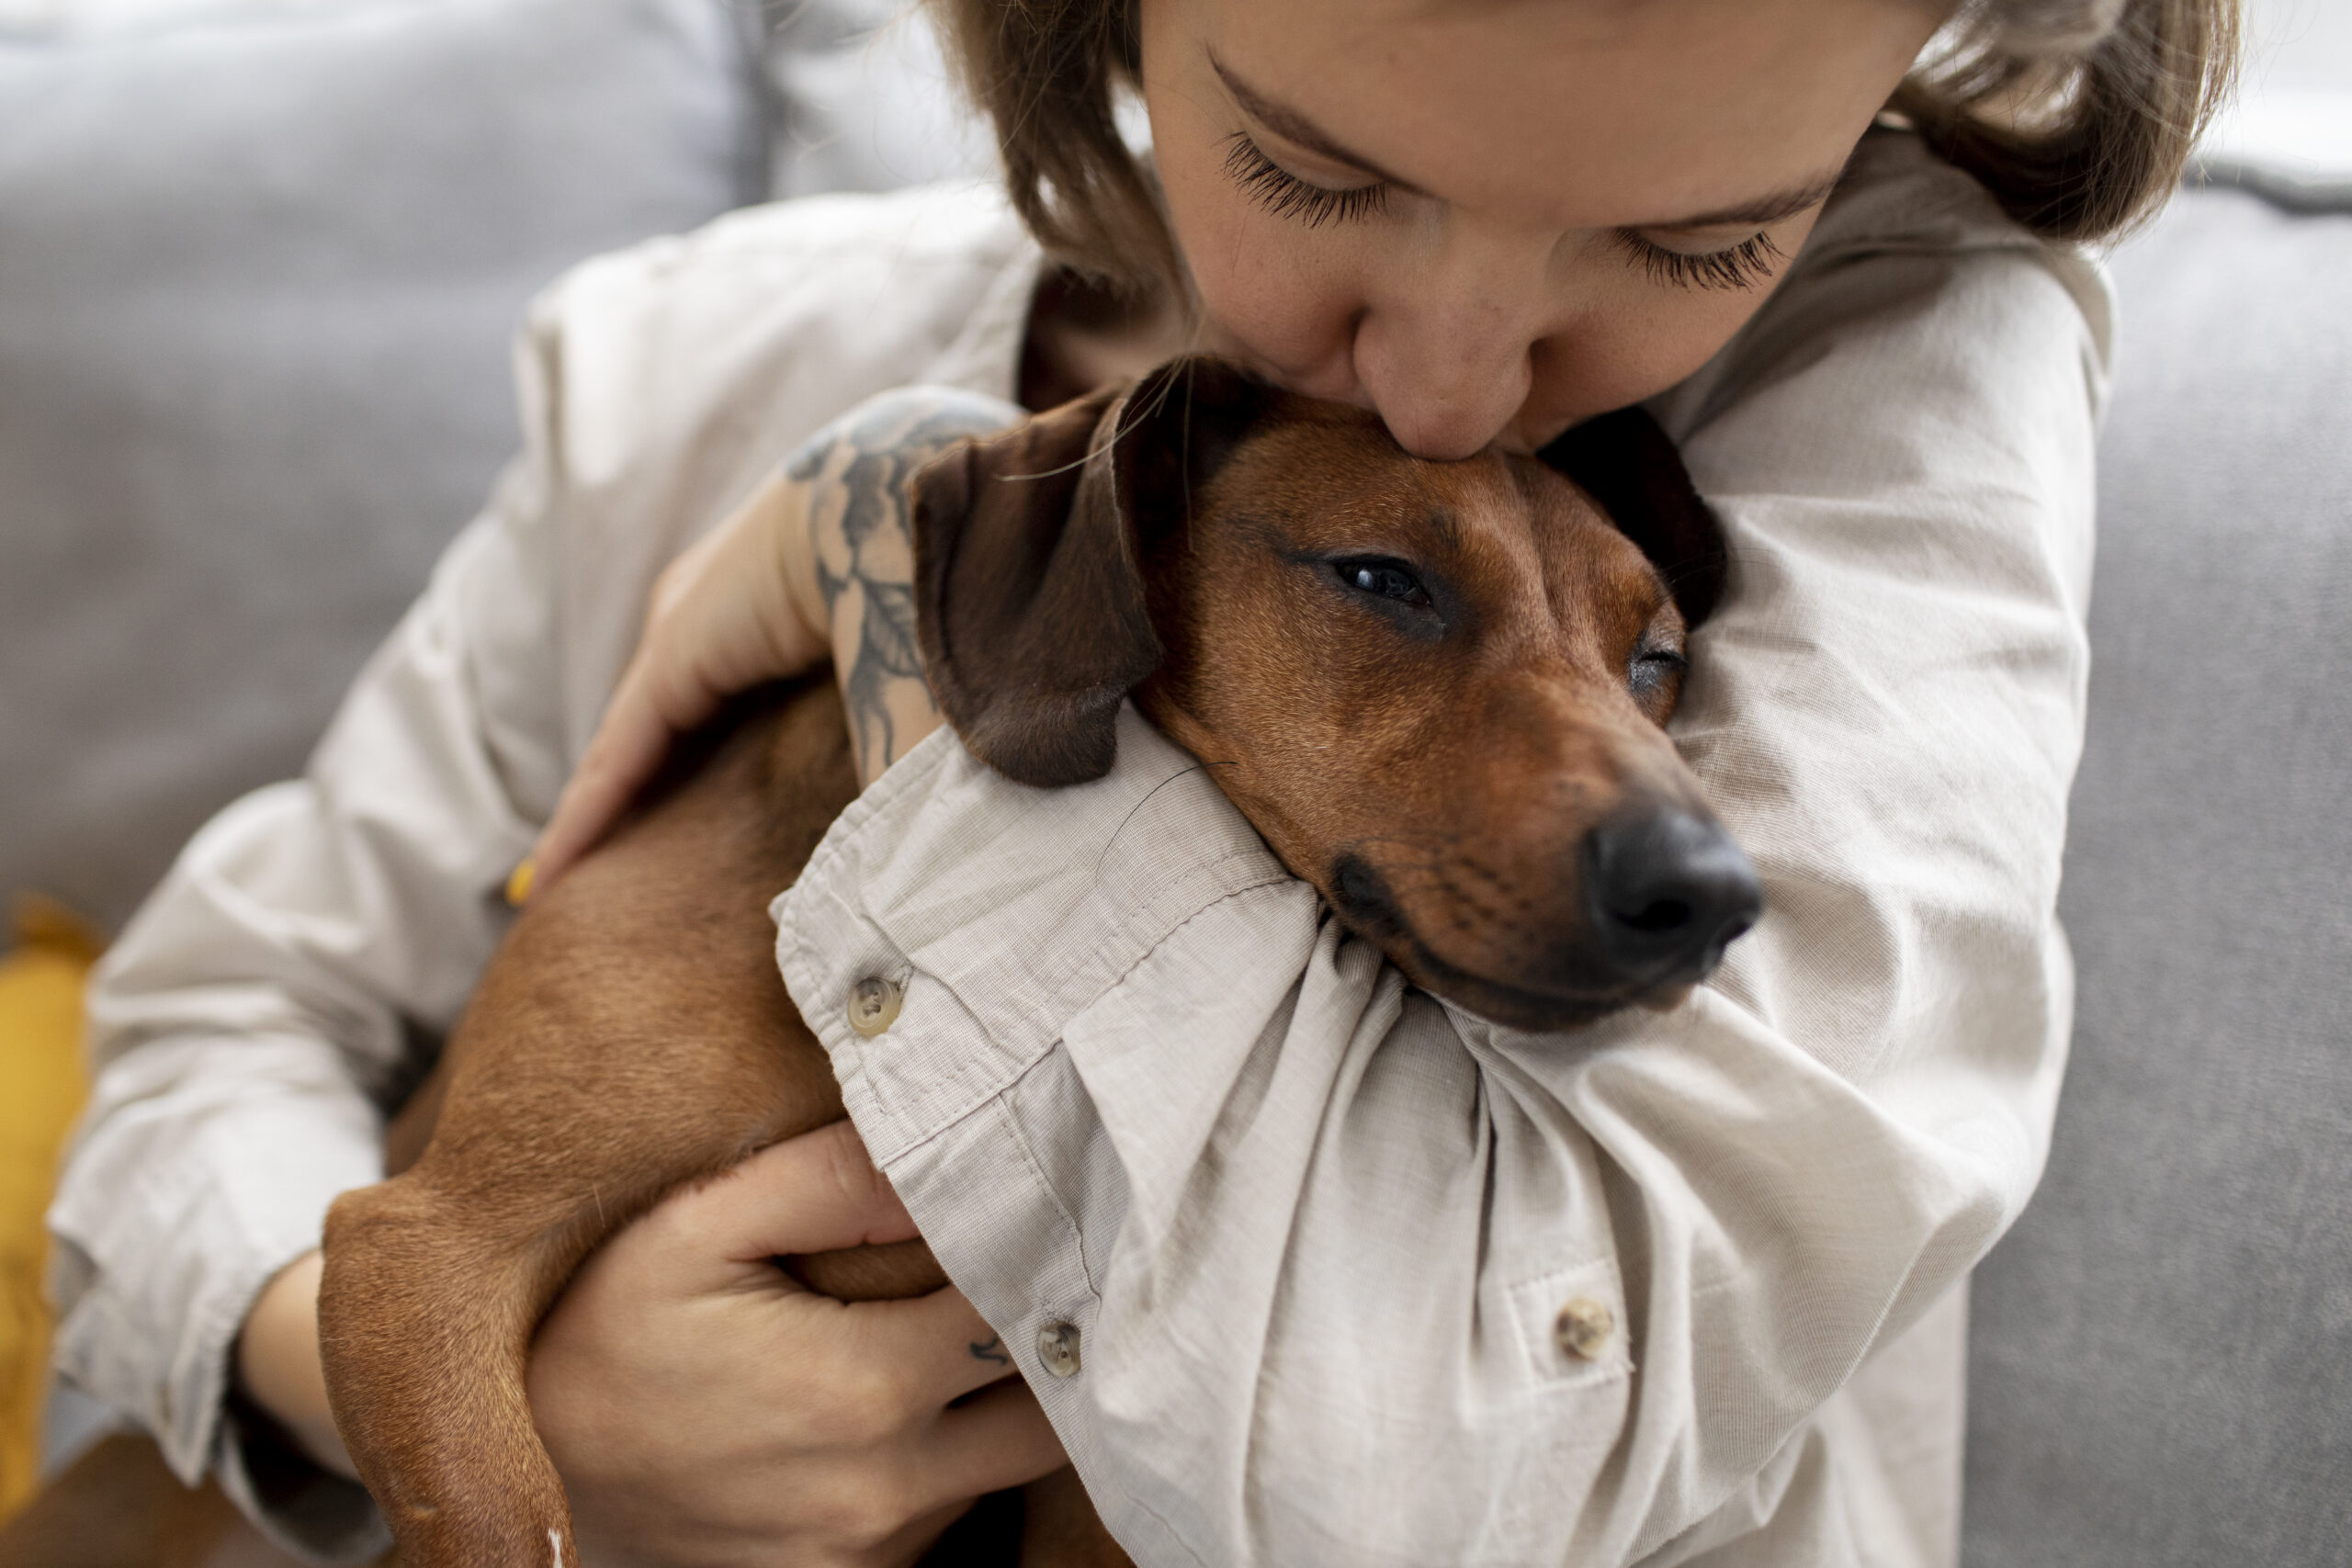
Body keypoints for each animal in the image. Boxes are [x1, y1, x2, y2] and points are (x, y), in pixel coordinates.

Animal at [322, 359, 1769, 1568]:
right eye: (1379, 578)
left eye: (1656, 659)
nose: (1713, 893)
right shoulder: (426, 1248)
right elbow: (503, 1509)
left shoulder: (1087, 1513)